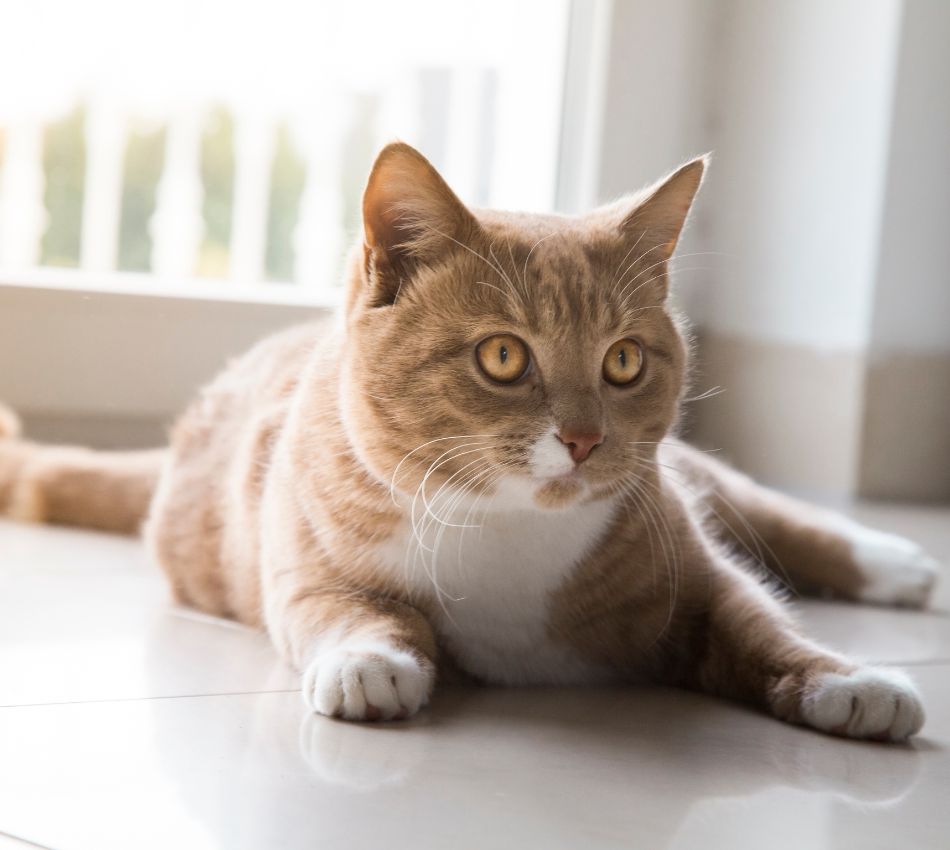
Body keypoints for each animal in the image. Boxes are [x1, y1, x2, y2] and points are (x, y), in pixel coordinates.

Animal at [0, 141, 936, 736]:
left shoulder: (691, 567)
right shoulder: (301, 565)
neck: (506, 527)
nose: (584, 439)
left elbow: (757, 618)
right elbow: (341, 607)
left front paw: (848, 679)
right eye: (503, 355)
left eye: (624, 360)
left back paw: (897, 563)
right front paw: (371, 658)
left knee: (778, 517)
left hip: (695, 481)